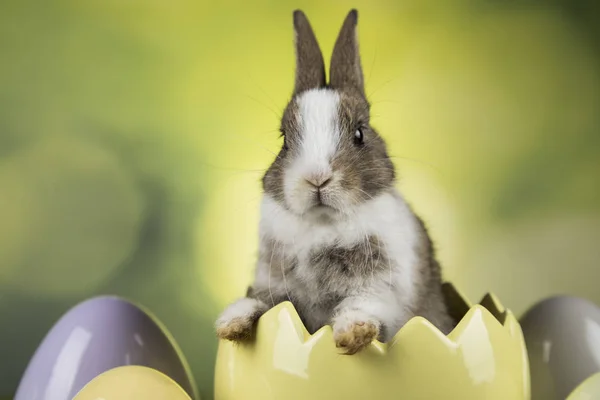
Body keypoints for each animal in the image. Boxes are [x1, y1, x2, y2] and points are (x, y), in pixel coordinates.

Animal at [216, 8, 454, 354]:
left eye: (359, 133)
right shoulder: (273, 285)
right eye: (284, 139)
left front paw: (352, 334)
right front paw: (230, 324)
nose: (317, 178)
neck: (323, 224)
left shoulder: (381, 286)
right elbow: (260, 303)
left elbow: (363, 305)